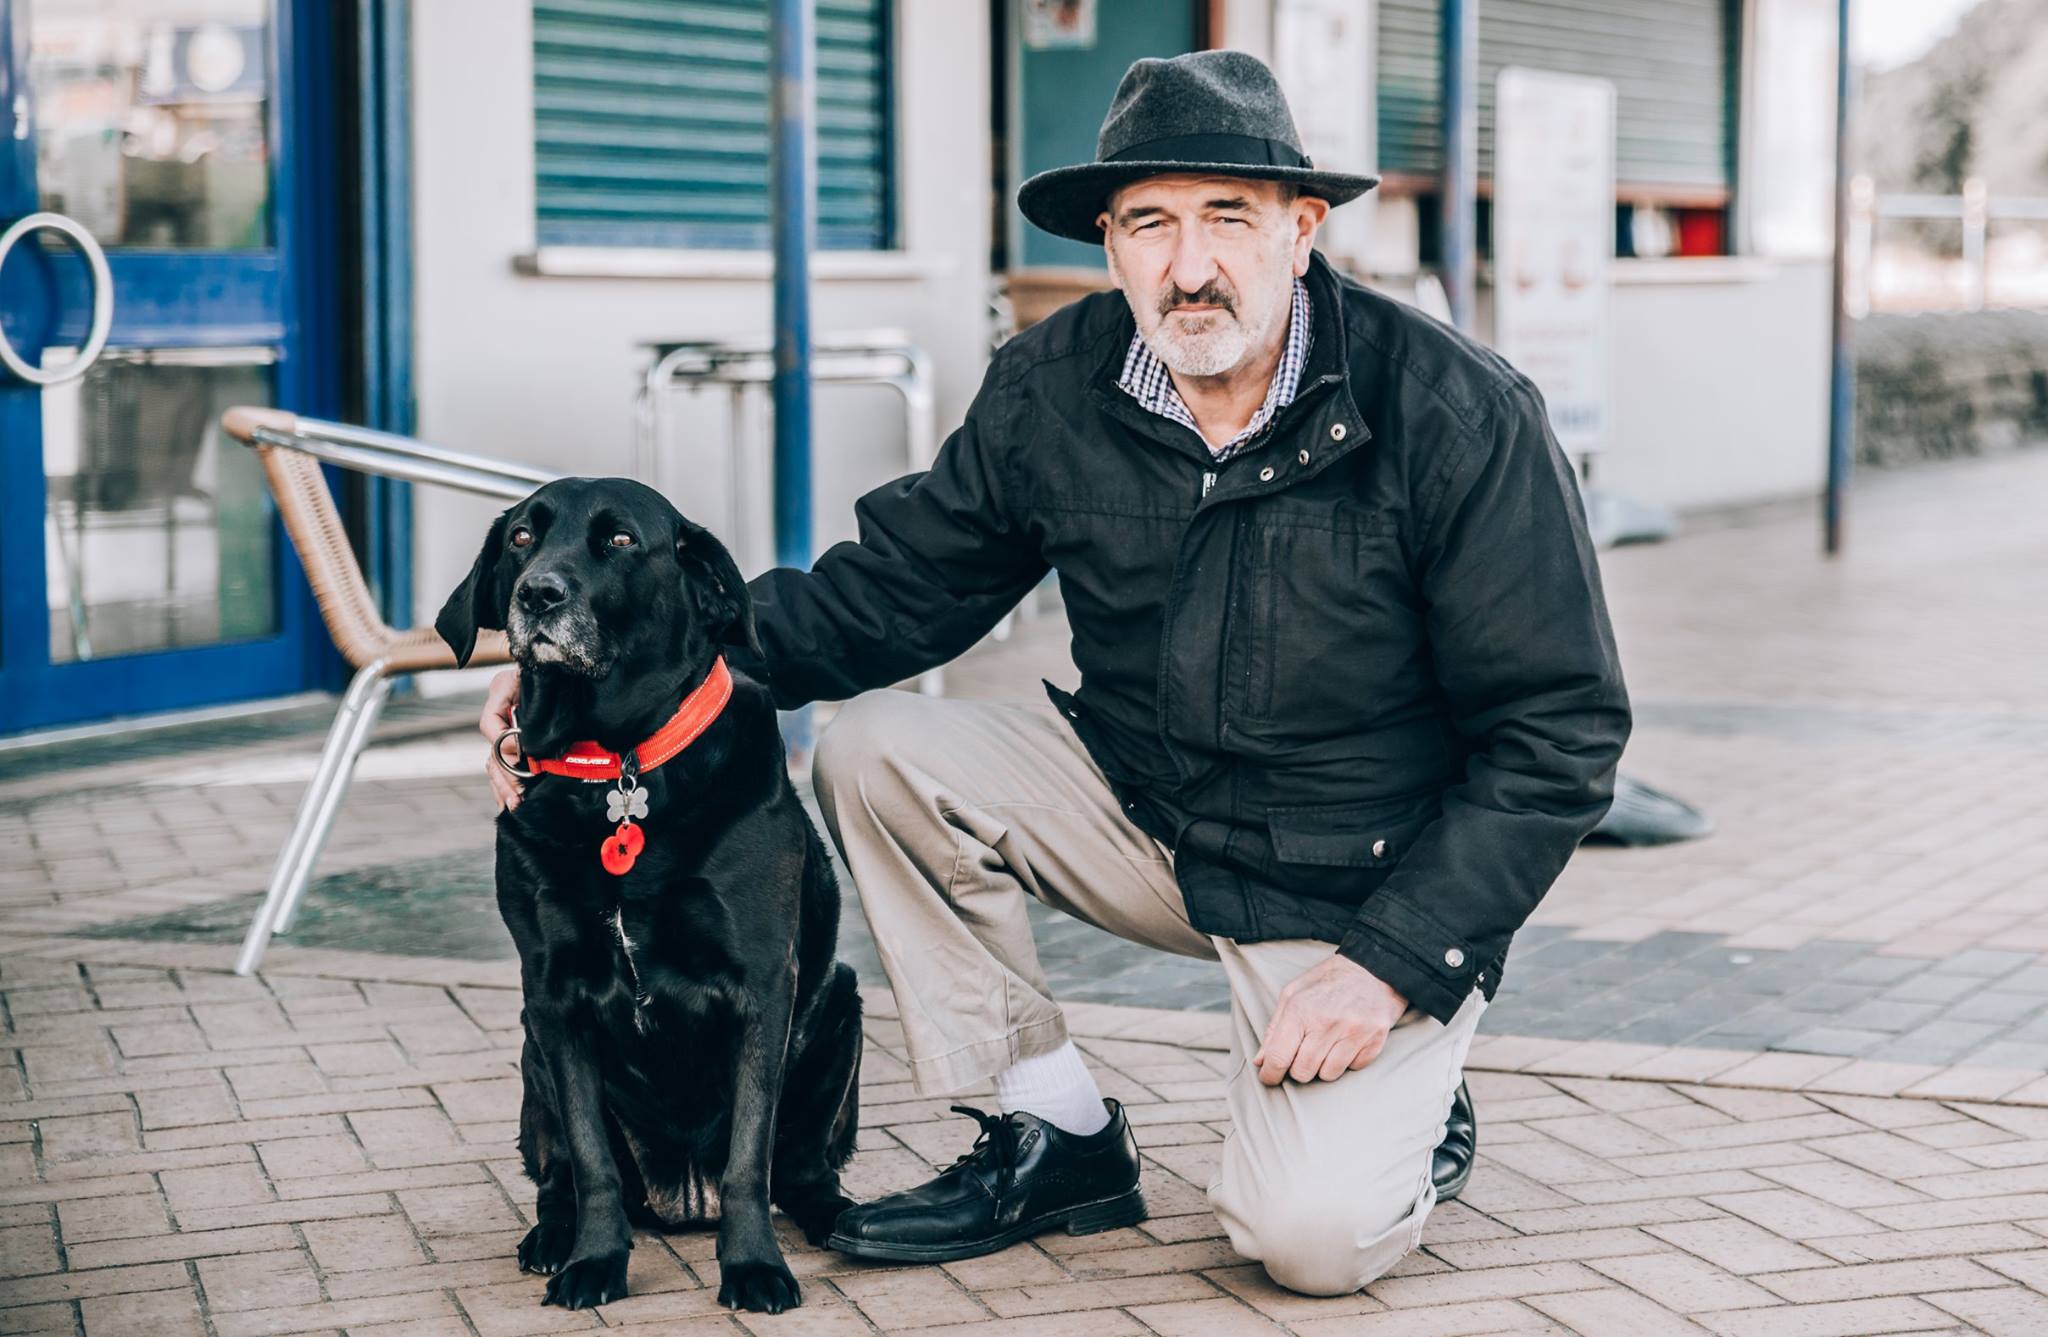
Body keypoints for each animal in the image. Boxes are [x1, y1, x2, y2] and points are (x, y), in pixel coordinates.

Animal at [440, 475, 864, 1310]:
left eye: (621, 540)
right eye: (522, 537)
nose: (538, 593)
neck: (618, 766)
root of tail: (683, 1196)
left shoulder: (763, 984)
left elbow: (749, 1157)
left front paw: (755, 1265)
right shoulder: (554, 995)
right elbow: (593, 1161)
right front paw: (595, 1260)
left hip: (839, 1010)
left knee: (800, 1169)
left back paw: (841, 1216)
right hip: (531, 1050)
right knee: (559, 1178)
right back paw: (552, 1237)